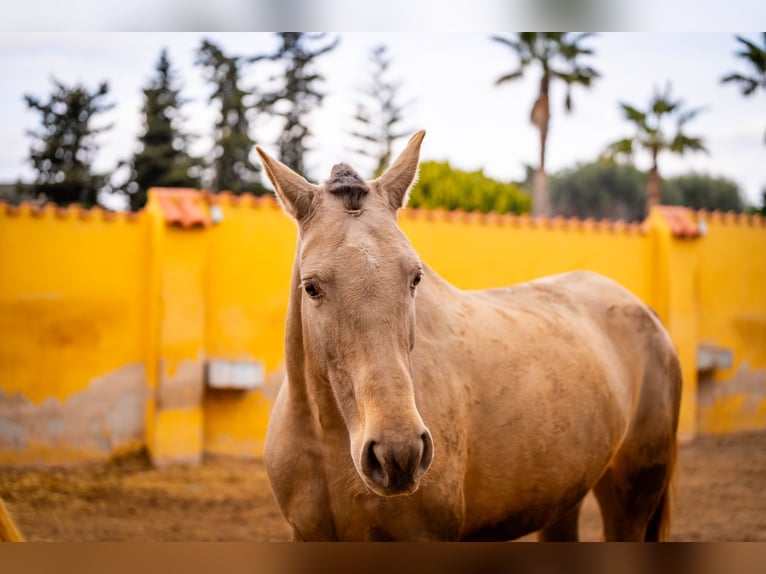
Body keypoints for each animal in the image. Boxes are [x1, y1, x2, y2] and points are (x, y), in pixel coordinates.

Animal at [255, 131, 682, 541]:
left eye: (415, 277)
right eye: (311, 287)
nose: (399, 452)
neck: (327, 445)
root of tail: (644, 310)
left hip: (632, 497)